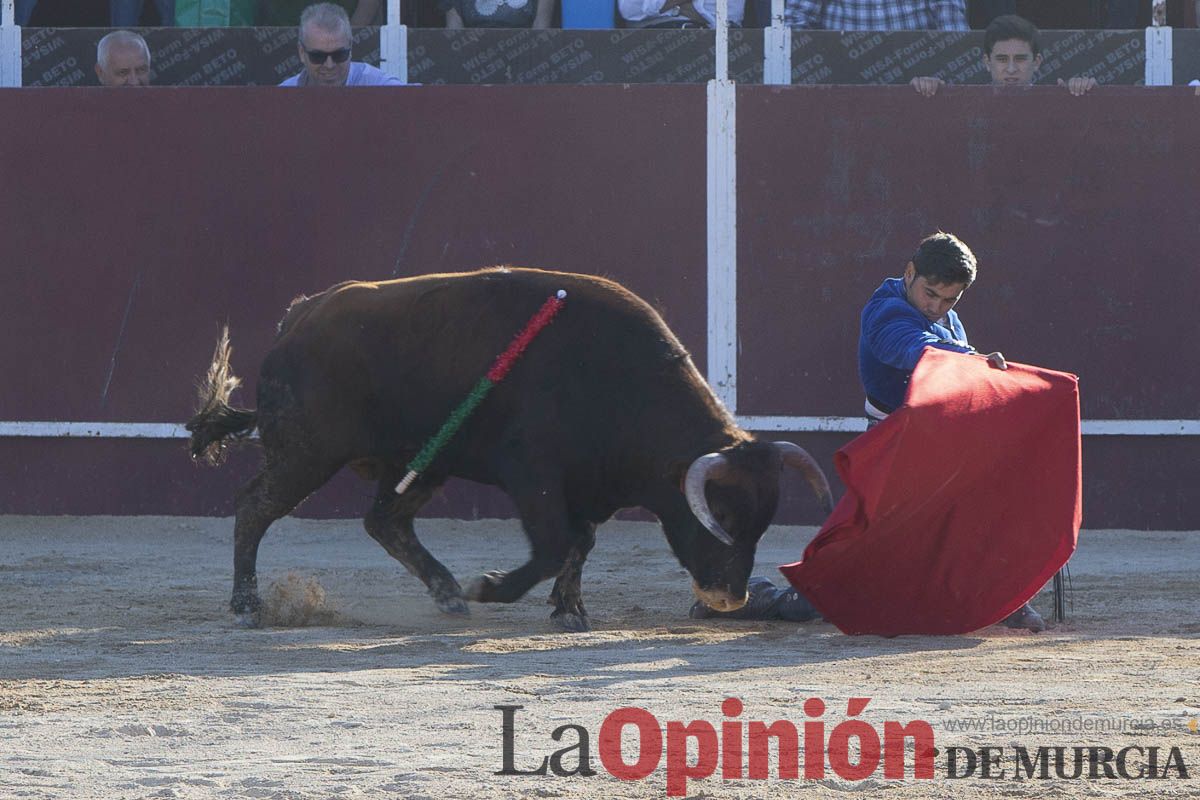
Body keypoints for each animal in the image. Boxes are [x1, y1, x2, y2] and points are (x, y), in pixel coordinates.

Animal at [187, 268, 830, 633]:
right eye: (716, 515)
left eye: (763, 522)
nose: (729, 598)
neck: (618, 380)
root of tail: (298, 318)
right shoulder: (533, 476)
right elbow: (554, 544)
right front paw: (494, 588)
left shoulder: (588, 486)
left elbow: (580, 544)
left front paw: (569, 611)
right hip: (307, 453)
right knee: (255, 507)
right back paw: (246, 606)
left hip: (419, 462)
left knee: (384, 521)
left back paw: (448, 595)